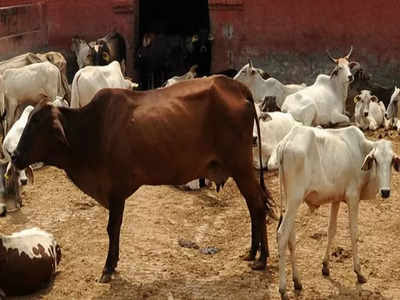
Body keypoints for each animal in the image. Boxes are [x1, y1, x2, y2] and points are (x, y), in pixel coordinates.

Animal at [11, 75, 272, 284]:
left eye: (36, 124)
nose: (14, 156)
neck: (93, 130)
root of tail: (236, 86)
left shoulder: (116, 190)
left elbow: (112, 228)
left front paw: (108, 268)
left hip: (240, 166)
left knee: (258, 204)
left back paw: (262, 259)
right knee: (253, 205)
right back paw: (252, 252)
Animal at [268, 124, 400, 298]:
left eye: (391, 161)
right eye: (376, 160)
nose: (385, 192)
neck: (360, 149)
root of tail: (286, 142)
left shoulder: (336, 199)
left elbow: (331, 230)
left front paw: (325, 266)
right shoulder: (353, 197)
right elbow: (354, 233)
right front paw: (359, 272)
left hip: (290, 201)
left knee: (291, 238)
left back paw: (297, 281)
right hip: (295, 199)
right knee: (282, 235)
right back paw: (283, 289)